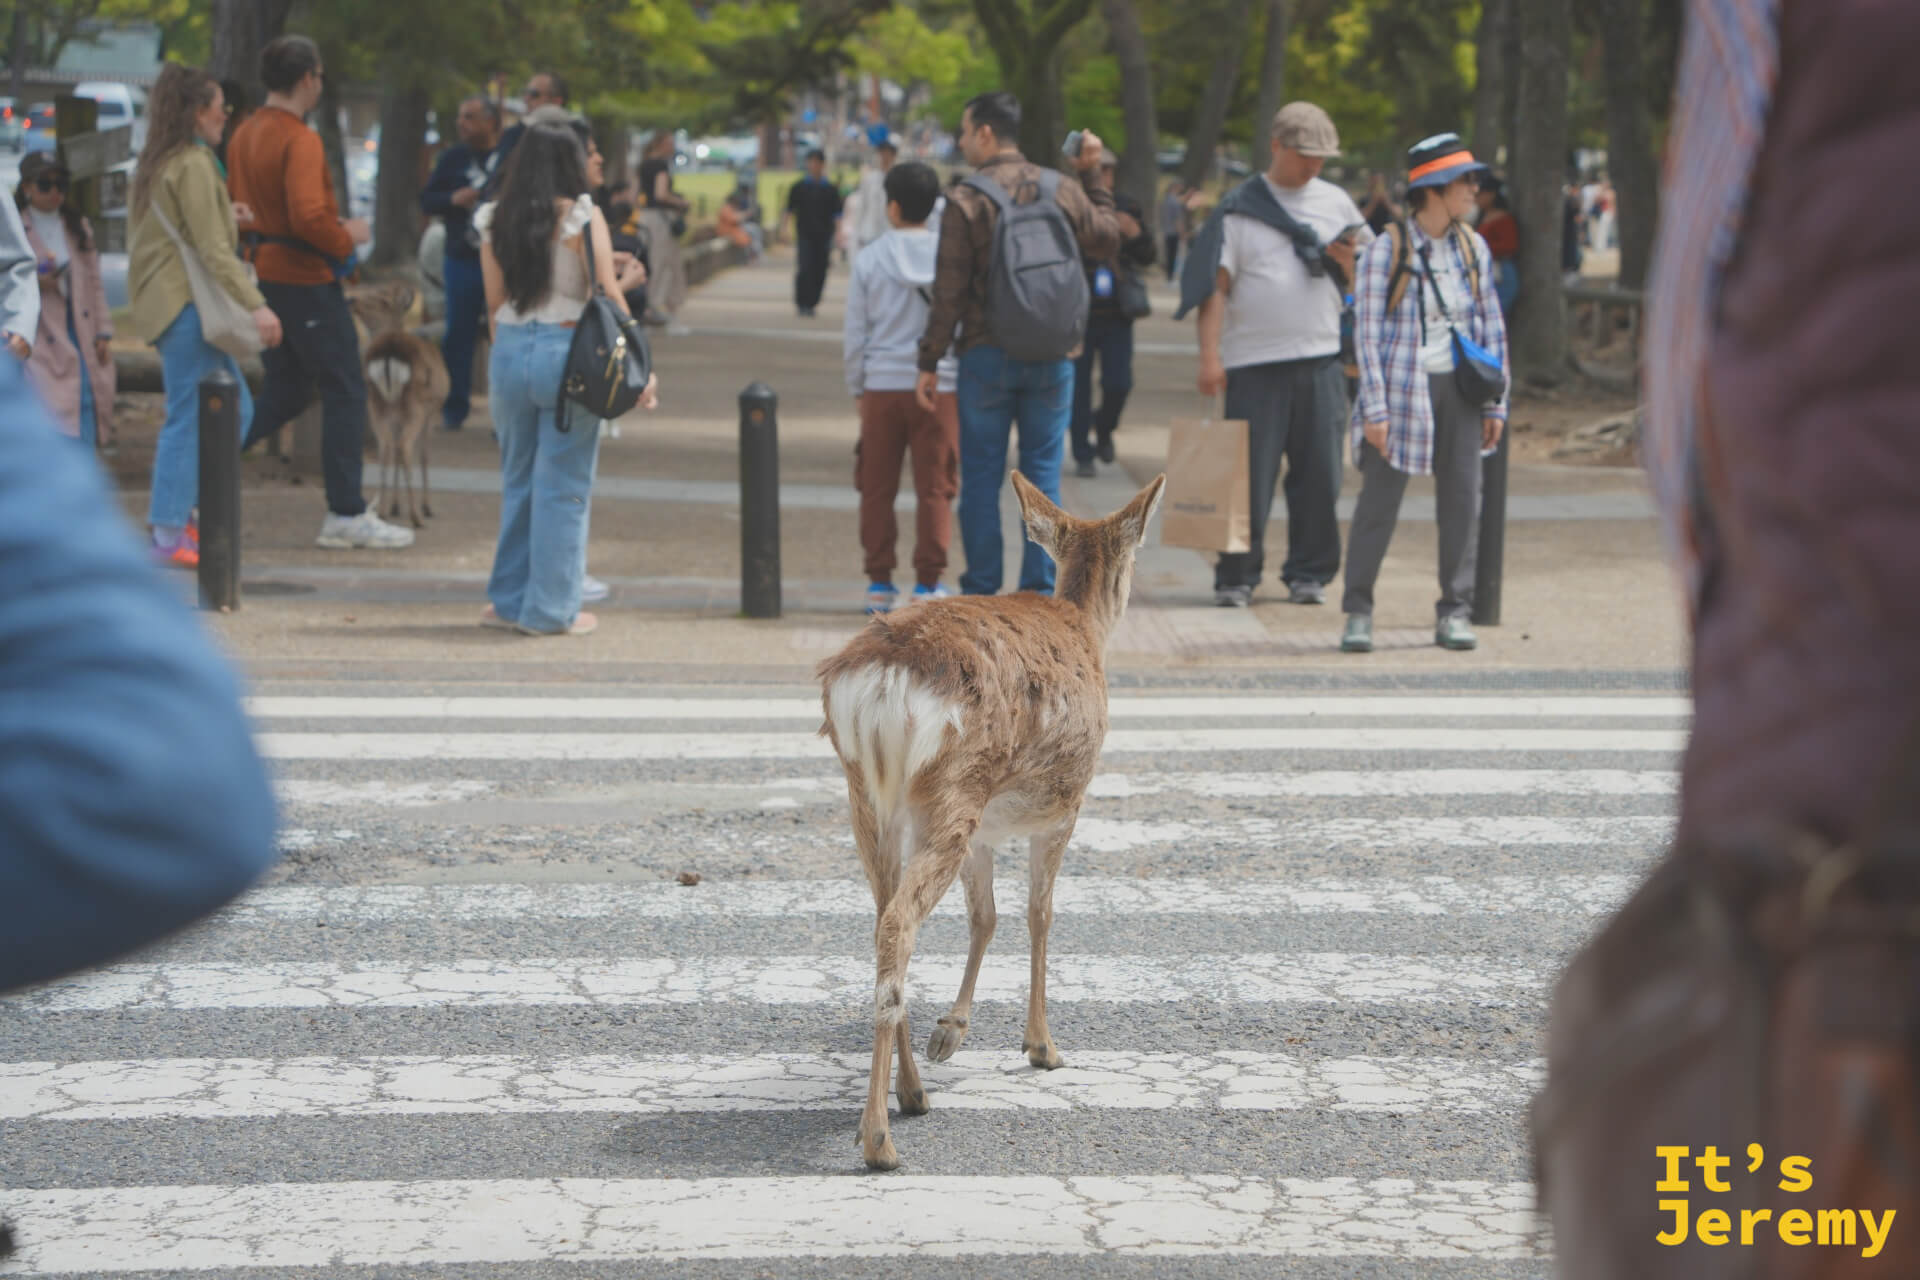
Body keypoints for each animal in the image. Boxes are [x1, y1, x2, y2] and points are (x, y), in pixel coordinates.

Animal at [348, 281, 449, 530]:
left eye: (382, 298)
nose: (352, 299)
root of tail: (388, 352)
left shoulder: (395, 417)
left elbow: (393, 454)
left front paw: (394, 506)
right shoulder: (433, 412)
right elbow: (424, 456)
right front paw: (427, 506)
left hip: (376, 404)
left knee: (386, 448)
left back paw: (383, 511)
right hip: (415, 407)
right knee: (404, 447)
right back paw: (416, 516)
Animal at [816, 468, 1166, 1171]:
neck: (1084, 626)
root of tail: (882, 680)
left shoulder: (986, 829)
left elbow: (986, 917)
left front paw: (950, 1032)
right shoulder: (1066, 805)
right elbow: (1039, 915)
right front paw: (1042, 1046)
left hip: (874, 797)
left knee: (882, 916)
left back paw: (913, 1093)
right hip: (955, 785)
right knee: (900, 922)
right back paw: (879, 1139)